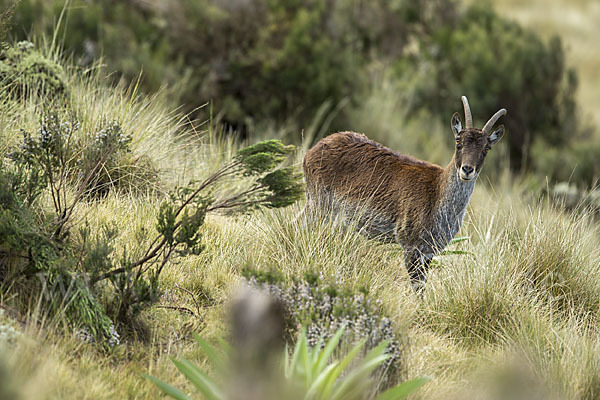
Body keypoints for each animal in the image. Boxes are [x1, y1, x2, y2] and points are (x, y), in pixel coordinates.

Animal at [304, 97, 506, 290]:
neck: (438, 194)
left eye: (486, 148)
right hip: (317, 206)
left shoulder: (428, 252)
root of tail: (312, 151)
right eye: (458, 141)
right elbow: (417, 287)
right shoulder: (410, 246)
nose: (467, 170)